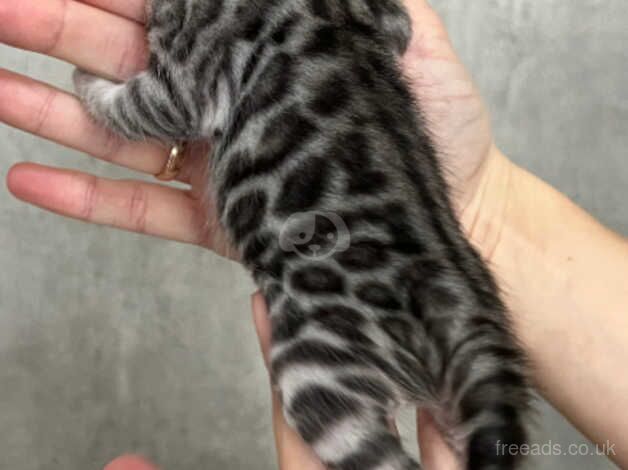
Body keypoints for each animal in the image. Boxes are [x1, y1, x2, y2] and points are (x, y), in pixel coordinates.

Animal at [76, 0, 532, 468]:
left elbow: (131, 108)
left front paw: (86, 83)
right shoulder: (390, 21)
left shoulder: (184, 85)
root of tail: (460, 298)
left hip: (318, 370)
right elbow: (400, 30)